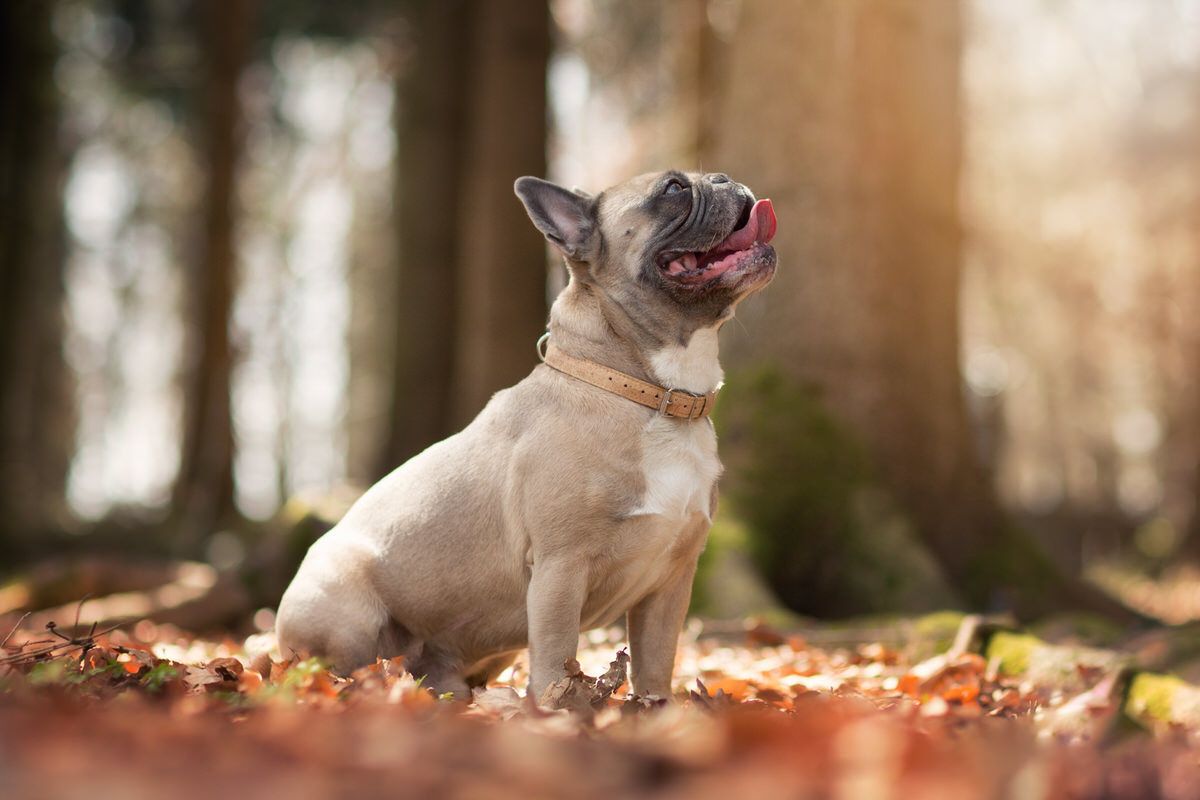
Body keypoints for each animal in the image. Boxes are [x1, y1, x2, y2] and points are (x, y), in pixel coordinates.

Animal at [274, 170, 777, 700]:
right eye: (674, 189)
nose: (723, 177)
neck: (654, 394)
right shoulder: (561, 568)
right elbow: (557, 661)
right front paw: (560, 710)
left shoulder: (671, 581)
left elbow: (656, 664)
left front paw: (657, 710)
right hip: (345, 607)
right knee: (345, 667)